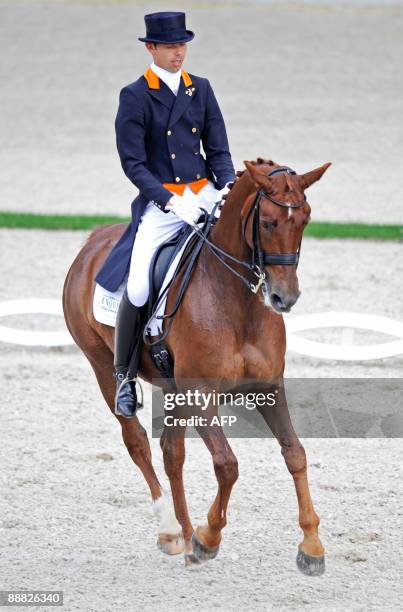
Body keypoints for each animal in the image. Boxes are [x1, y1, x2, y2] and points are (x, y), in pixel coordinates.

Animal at [62, 158, 332, 572]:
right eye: (269, 223)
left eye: (305, 219)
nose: (284, 298)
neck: (236, 301)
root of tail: (92, 242)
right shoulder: (202, 394)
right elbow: (227, 464)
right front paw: (209, 537)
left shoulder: (268, 389)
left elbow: (295, 453)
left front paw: (312, 546)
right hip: (103, 367)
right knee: (137, 442)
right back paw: (173, 531)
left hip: (174, 389)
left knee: (172, 453)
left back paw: (186, 534)